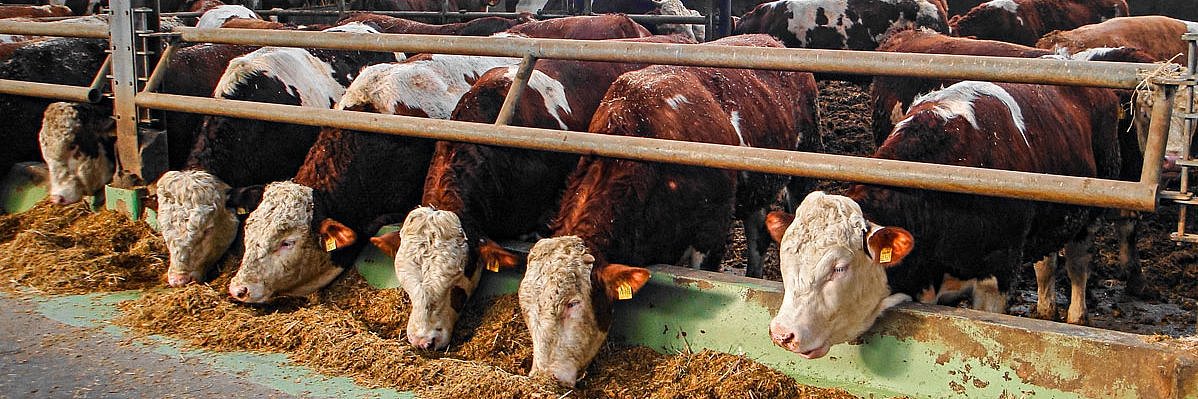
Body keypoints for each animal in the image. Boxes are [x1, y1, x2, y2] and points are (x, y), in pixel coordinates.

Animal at [519, 34, 819, 385]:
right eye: (525, 306)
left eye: (573, 303)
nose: (543, 377)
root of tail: (770, 39)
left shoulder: (710, 234)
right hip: (753, 192)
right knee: (757, 235)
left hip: (803, 170)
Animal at [766, 80, 1121, 357]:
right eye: (785, 259)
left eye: (839, 268)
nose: (783, 333)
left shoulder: (997, 275)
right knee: (1045, 262)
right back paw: (1046, 308)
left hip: (1090, 215)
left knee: (1077, 264)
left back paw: (1076, 316)